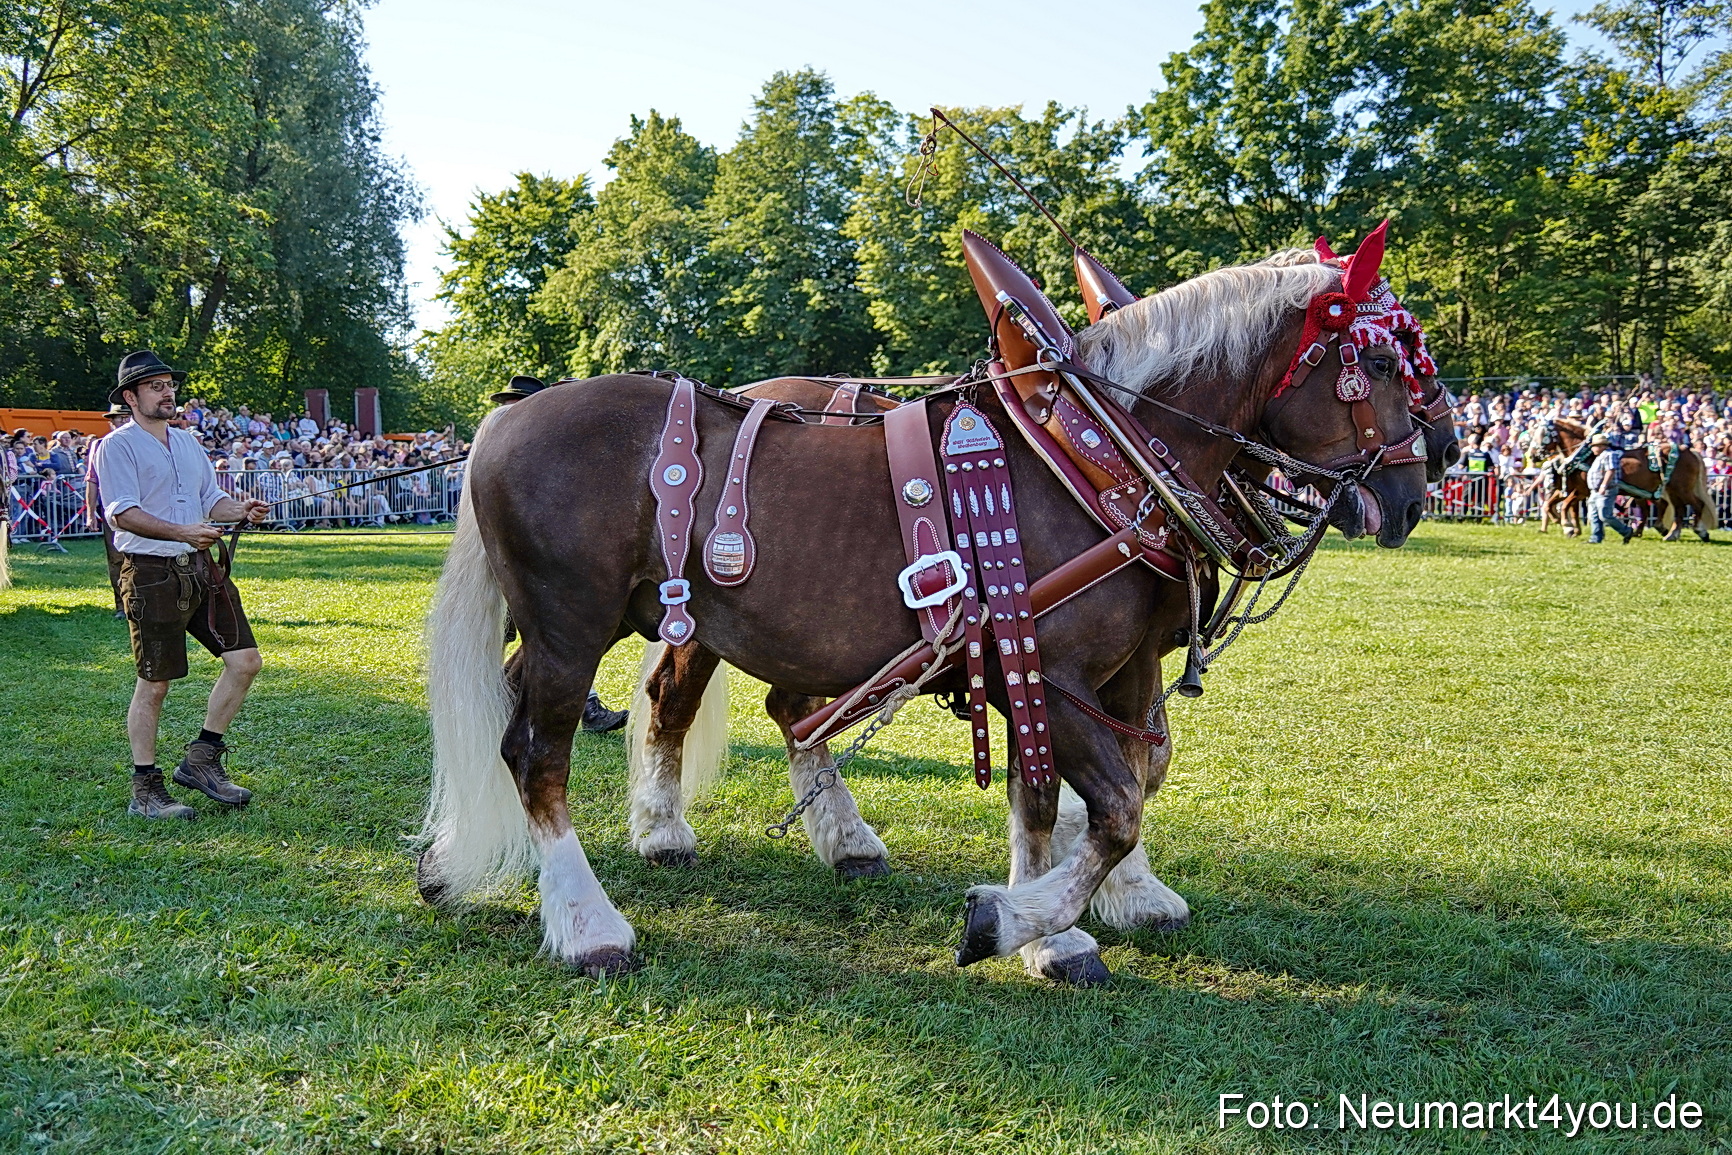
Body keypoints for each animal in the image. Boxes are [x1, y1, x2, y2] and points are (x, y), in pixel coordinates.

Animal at [417, 243, 1432, 983]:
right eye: (1382, 360)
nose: (1421, 490)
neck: (1095, 451)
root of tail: (507, 414)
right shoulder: (1052, 668)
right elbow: (1112, 807)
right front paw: (1021, 921)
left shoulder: (1092, 670)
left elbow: (1088, 786)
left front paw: (1074, 915)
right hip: (574, 625)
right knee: (539, 750)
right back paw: (589, 917)